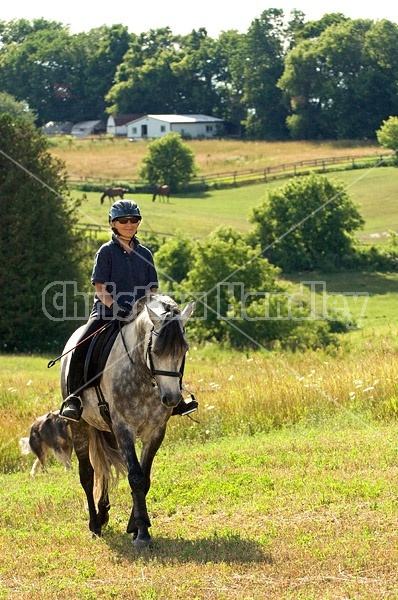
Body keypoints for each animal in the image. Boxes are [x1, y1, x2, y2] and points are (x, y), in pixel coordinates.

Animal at [59, 294, 194, 548]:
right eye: (156, 349)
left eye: (184, 349)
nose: (172, 398)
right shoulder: (124, 429)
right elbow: (136, 477)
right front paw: (142, 532)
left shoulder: (155, 432)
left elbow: (145, 477)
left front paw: (135, 526)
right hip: (80, 426)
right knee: (87, 473)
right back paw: (94, 525)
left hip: (106, 428)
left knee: (104, 468)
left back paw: (102, 514)